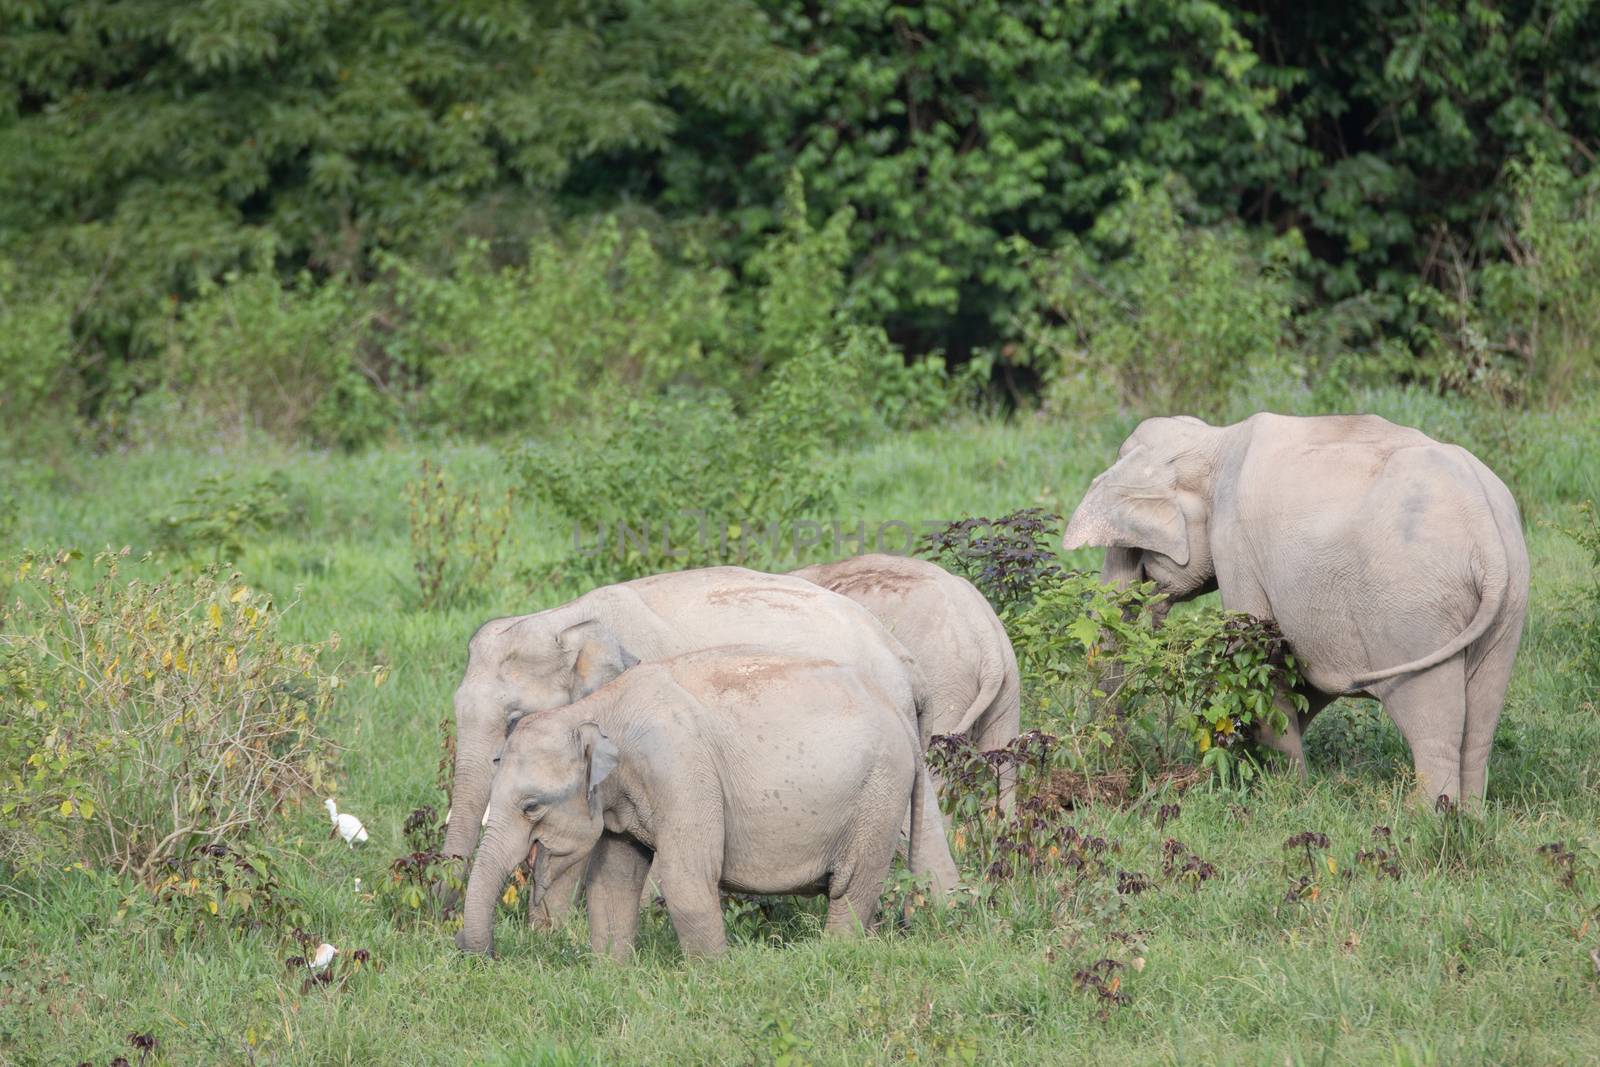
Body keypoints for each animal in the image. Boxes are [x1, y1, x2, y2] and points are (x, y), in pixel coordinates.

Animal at [451, 646, 928, 966]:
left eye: (531, 806)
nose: (483, 955)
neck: (600, 708)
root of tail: (904, 719)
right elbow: (612, 881)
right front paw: (610, 971)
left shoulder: (680, 770)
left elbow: (686, 876)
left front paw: (713, 973)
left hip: (878, 794)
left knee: (852, 885)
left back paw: (835, 954)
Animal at [1062, 412, 1523, 806]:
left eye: (1134, 547)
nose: (1118, 772)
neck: (1214, 440)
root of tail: (1486, 531)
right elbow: (1305, 678)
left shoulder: (1237, 548)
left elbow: (1257, 656)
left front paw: (1288, 791)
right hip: (1507, 608)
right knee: (1479, 722)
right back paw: (1470, 816)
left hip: (1414, 609)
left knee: (1429, 717)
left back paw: (1426, 818)